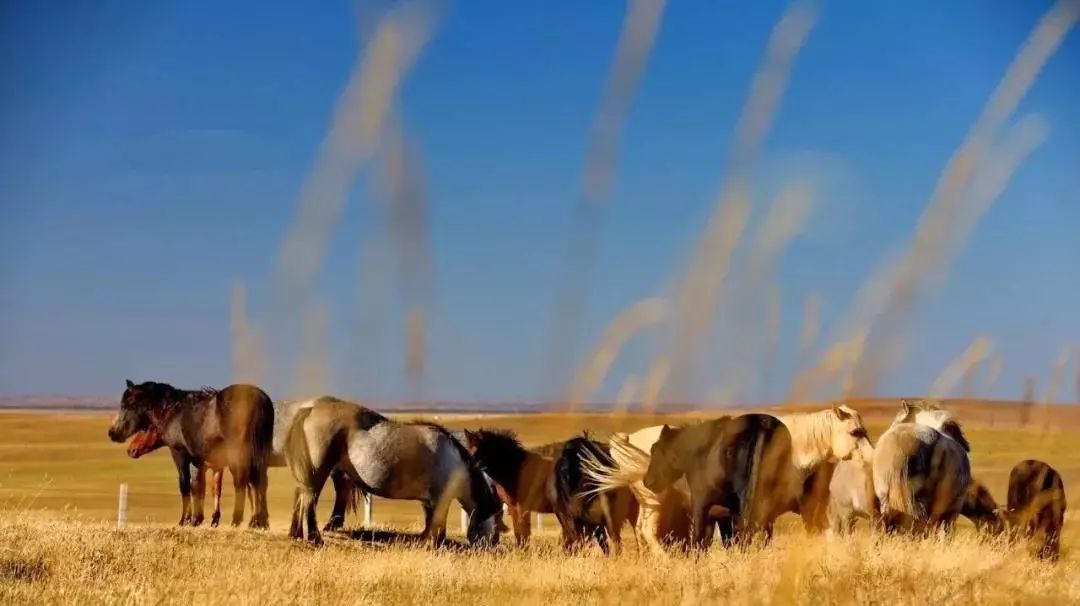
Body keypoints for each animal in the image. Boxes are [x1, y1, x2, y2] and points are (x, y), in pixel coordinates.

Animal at [276, 395, 498, 546]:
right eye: (495, 522)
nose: (494, 545)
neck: (454, 461)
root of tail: (310, 409)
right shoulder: (439, 500)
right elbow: (437, 530)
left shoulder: (428, 501)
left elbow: (429, 525)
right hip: (318, 471)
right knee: (309, 501)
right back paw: (315, 538)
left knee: (302, 497)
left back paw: (296, 534)